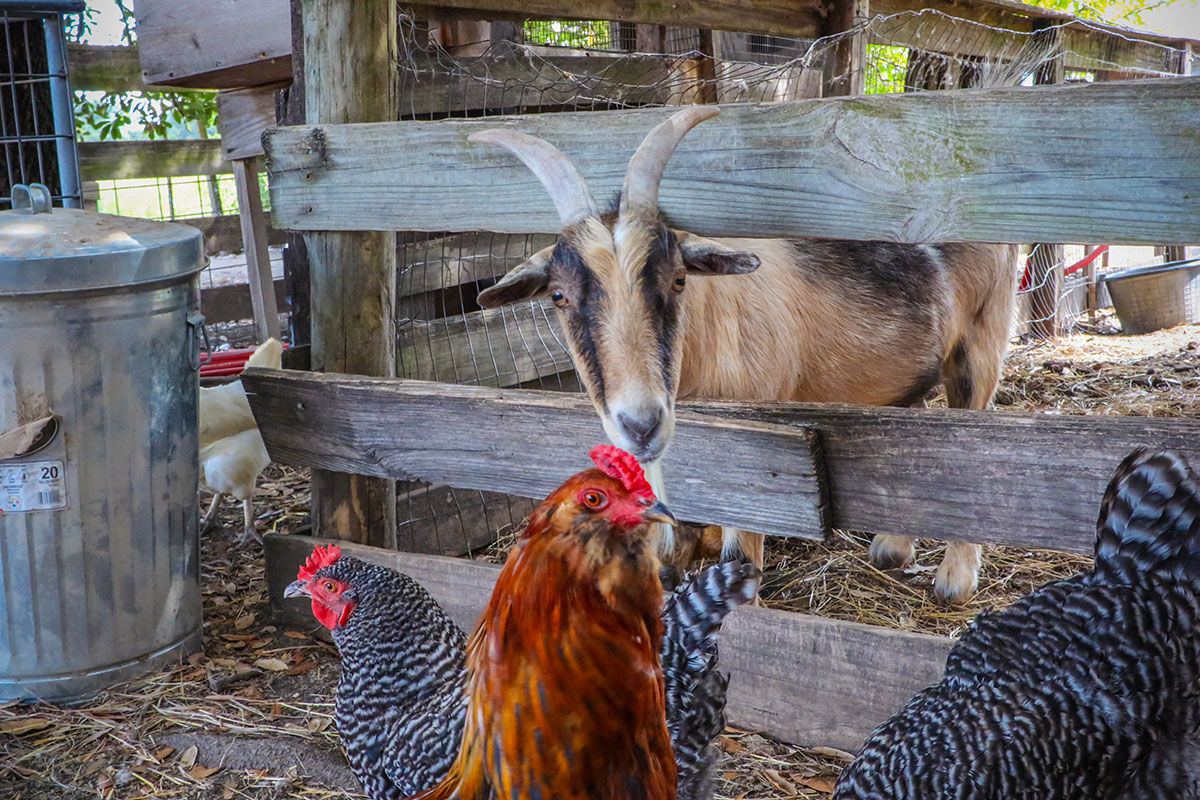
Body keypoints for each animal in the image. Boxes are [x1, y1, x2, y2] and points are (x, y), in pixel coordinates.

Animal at [472, 107, 1017, 606]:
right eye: (559, 296)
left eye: (679, 279)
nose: (641, 425)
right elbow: (668, 556)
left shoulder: (756, 469)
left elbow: (738, 562)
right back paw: (891, 548)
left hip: (981, 348)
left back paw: (954, 580)